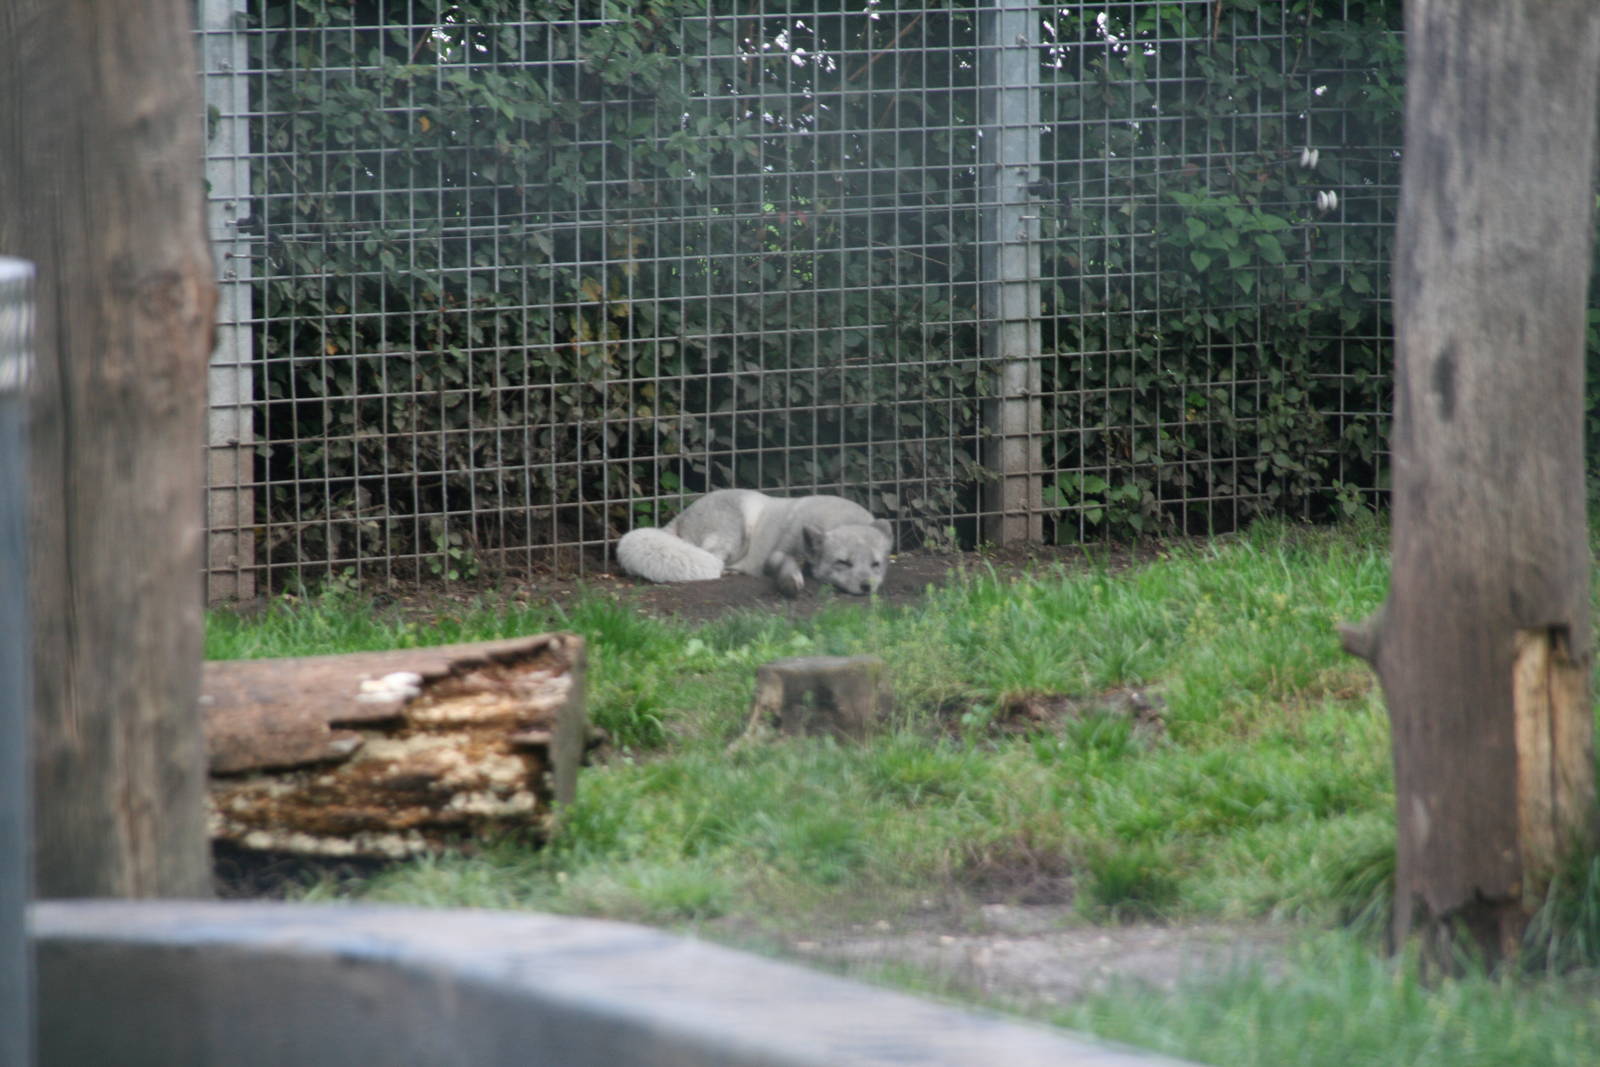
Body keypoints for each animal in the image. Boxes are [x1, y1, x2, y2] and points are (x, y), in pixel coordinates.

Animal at [615, 489, 893, 597]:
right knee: (712, 559)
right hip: (734, 531)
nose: (867, 587)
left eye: (876, 564)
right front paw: (790, 582)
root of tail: (682, 515)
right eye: (843, 562)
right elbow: (787, 566)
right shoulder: (777, 554)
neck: (838, 519)